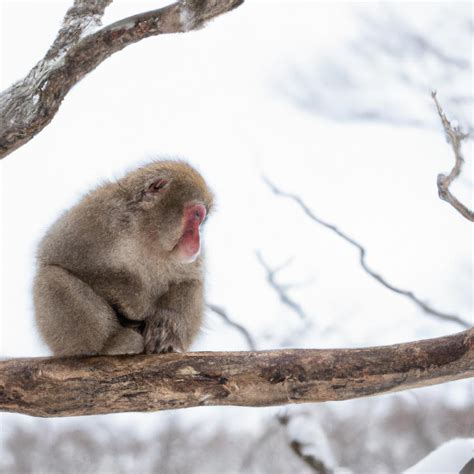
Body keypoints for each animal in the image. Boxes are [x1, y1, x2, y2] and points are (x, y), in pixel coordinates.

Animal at [34, 160, 215, 356]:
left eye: (201, 220)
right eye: (196, 215)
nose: (197, 240)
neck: (146, 235)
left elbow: (189, 280)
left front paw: (166, 327)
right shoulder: (96, 217)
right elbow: (59, 258)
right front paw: (136, 301)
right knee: (51, 277)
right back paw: (111, 342)